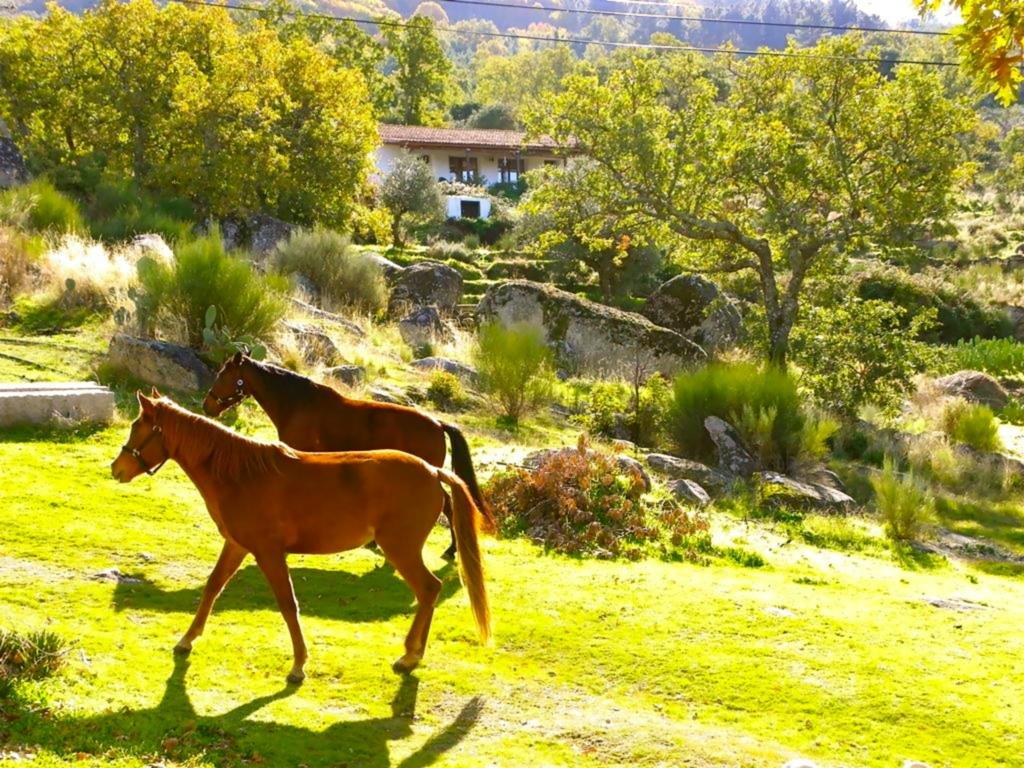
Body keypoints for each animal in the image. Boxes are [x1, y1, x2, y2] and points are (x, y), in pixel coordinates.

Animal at [112, 393, 491, 684]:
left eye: (138, 428)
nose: (116, 469)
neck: (242, 475)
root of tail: (432, 471)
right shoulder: (237, 546)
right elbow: (213, 587)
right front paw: (187, 639)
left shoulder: (268, 552)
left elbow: (287, 603)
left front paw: (298, 665)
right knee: (429, 593)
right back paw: (414, 654)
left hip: (401, 548)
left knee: (428, 590)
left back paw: (410, 656)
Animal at [202, 354, 491, 561]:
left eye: (223, 374)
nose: (208, 405)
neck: (297, 405)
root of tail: (438, 424)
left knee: (448, 506)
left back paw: (451, 550)